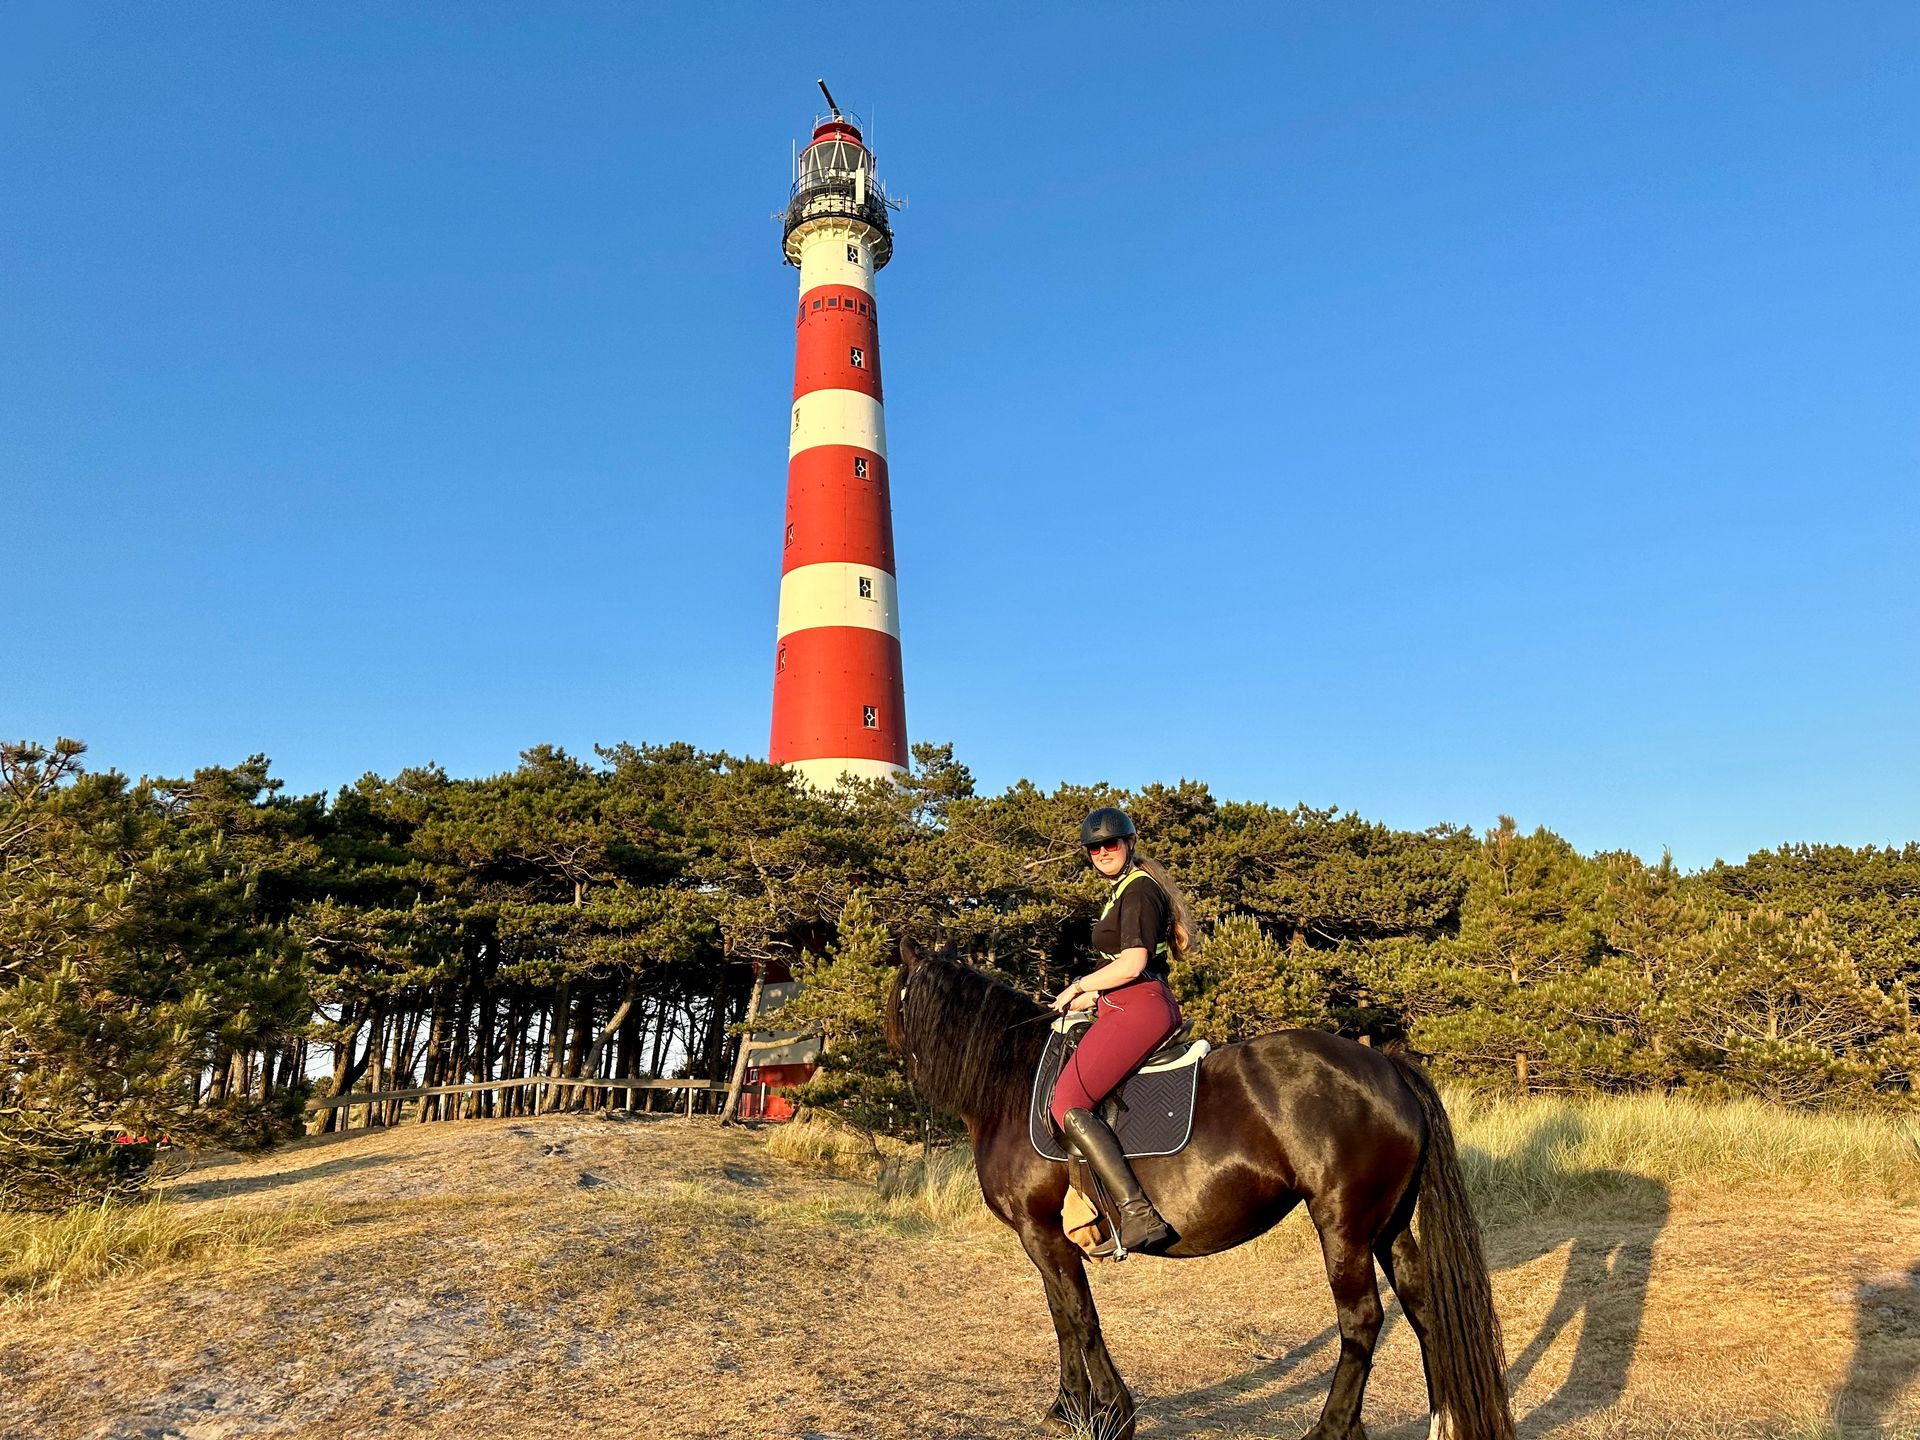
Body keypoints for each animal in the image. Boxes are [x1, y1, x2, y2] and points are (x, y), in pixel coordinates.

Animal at [885, 941, 1514, 1440]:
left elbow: (1079, 1316)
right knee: (1423, 1309)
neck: (1012, 1085)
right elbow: (1063, 1317)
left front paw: (1111, 1412)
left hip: (1345, 1223)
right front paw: (1069, 1409)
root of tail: (1385, 1065)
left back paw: (1332, 1429)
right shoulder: (1044, 1237)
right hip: (1389, 1224)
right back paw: (1442, 1422)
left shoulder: (1041, 1231)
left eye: (897, 995)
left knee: (1361, 1321)